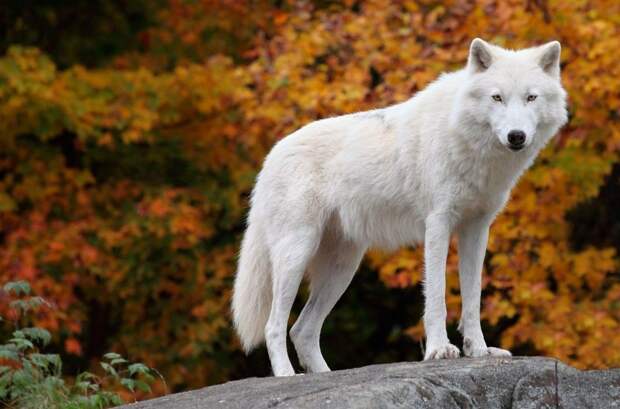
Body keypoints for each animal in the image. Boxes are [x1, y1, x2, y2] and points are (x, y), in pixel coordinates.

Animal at [231, 39, 568, 376]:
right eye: (497, 97)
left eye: (531, 97)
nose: (516, 136)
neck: (465, 138)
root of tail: (271, 156)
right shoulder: (438, 224)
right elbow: (437, 296)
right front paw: (439, 350)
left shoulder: (476, 229)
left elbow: (472, 298)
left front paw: (479, 351)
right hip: (297, 255)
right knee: (274, 326)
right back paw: (286, 376)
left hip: (342, 269)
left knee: (302, 330)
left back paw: (323, 374)